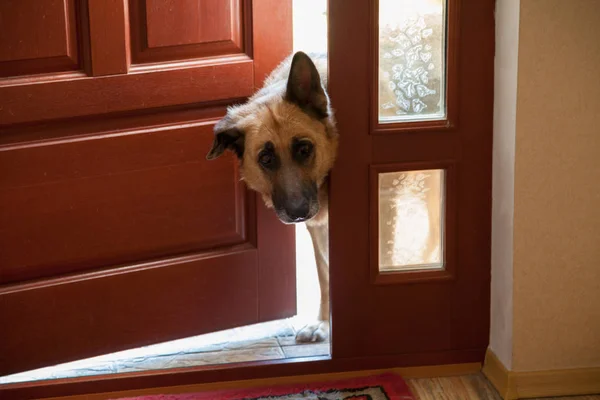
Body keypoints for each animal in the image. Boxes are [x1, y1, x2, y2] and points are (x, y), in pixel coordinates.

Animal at [206, 51, 338, 342]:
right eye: (266, 159)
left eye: (304, 149)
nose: (298, 213)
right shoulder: (319, 229)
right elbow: (326, 273)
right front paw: (324, 322)